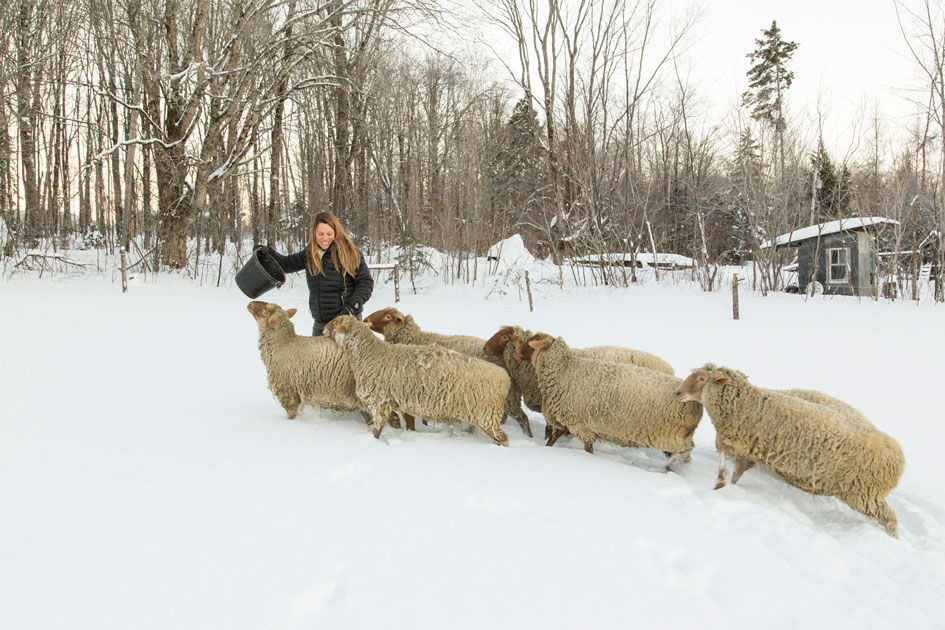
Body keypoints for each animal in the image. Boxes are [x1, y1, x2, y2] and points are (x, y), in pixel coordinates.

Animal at [328, 316, 512, 450]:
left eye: (336, 323)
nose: (323, 328)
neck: (370, 353)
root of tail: (505, 377)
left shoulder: (379, 401)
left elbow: (377, 428)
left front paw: (374, 442)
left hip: (486, 415)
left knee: (503, 438)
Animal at [508, 334, 700, 472]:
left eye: (531, 342)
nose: (515, 352)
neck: (565, 369)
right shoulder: (570, 418)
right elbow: (556, 435)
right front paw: (548, 447)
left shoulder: (579, 423)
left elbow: (586, 447)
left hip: (673, 435)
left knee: (686, 450)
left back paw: (672, 466)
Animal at [676, 366, 904, 540]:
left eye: (702, 378)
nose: (677, 393)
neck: (750, 404)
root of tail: (898, 460)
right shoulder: (748, 451)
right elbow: (738, 470)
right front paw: (729, 484)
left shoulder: (739, 441)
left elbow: (723, 453)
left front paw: (720, 482)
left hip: (863, 494)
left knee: (890, 517)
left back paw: (893, 538)